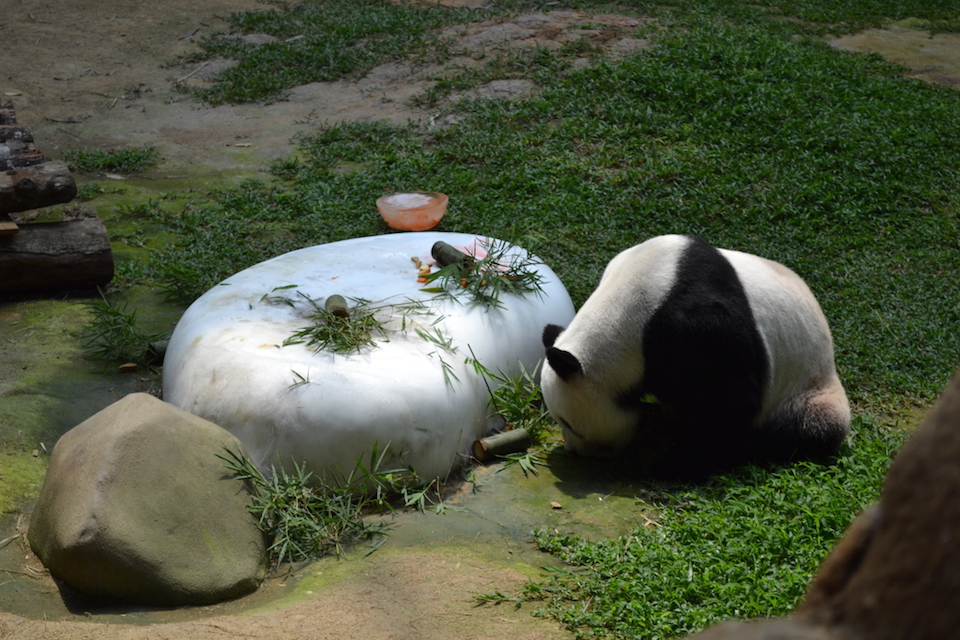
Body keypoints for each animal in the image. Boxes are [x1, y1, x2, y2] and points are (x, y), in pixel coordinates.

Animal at [541, 234, 850, 480]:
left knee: (811, 428)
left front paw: (676, 466)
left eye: (569, 423)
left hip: (807, 387)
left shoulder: (693, 331)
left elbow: (726, 402)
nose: (573, 451)